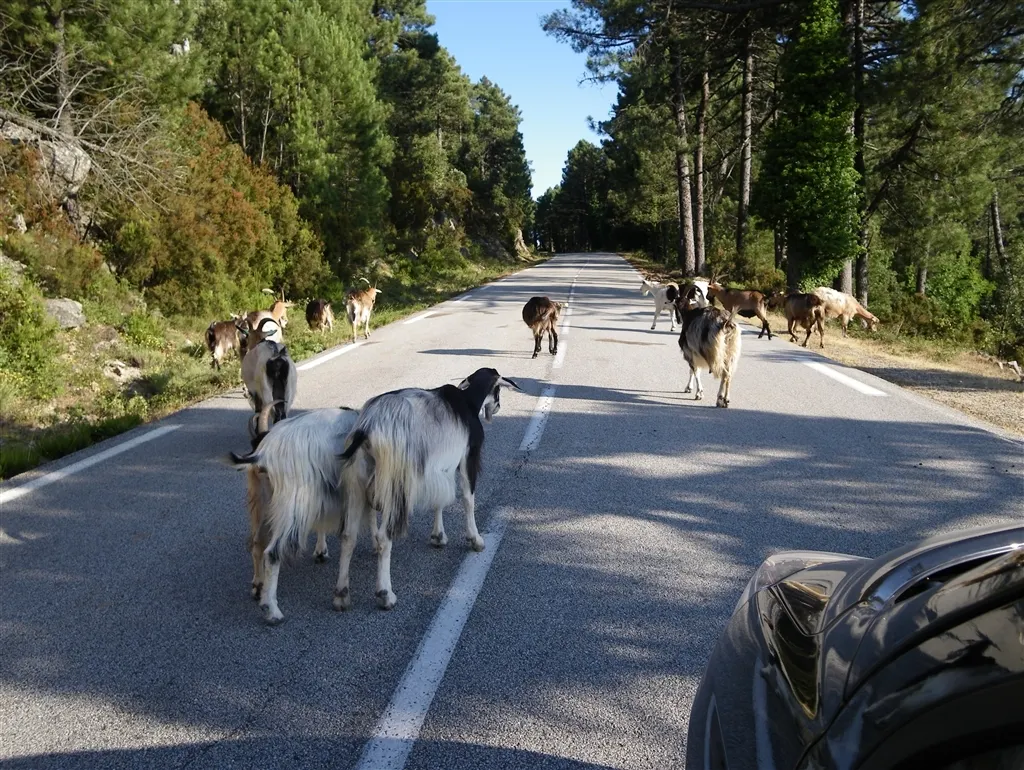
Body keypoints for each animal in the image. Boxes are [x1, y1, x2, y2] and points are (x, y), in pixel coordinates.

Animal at [230, 406, 361, 624]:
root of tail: (262, 456)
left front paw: (321, 552)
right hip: (291, 505)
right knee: (272, 553)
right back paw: (272, 611)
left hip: (261, 503)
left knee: (256, 543)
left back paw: (258, 587)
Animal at [241, 319, 297, 448]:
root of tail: (277, 357)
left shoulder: (255, 391)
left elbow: (258, 411)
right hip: (289, 389)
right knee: (283, 414)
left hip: (266, 391)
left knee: (274, 415)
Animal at [335, 367, 521, 611]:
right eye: (498, 388)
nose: (498, 407)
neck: (467, 401)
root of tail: (367, 429)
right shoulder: (467, 458)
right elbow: (468, 499)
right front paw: (476, 540)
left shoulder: (439, 467)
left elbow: (439, 501)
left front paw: (438, 537)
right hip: (395, 484)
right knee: (385, 537)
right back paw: (385, 594)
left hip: (356, 481)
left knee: (348, 536)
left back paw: (341, 595)